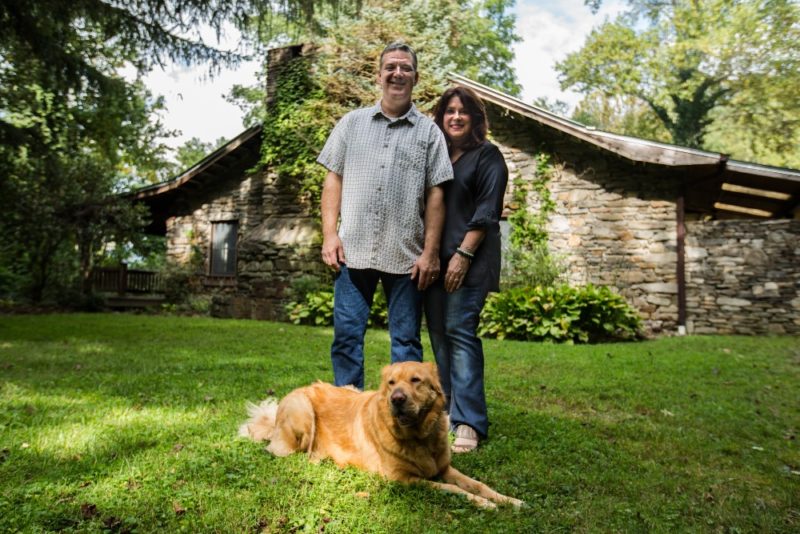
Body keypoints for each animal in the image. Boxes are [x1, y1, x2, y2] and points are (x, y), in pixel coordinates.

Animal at [239, 360, 524, 510]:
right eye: (391, 383)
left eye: (416, 380)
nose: (397, 399)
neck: (419, 438)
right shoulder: (405, 480)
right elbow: (453, 489)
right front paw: (486, 504)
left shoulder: (444, 468)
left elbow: (478, 484)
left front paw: (509, 500)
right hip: (303, 411)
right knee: (292, 452)